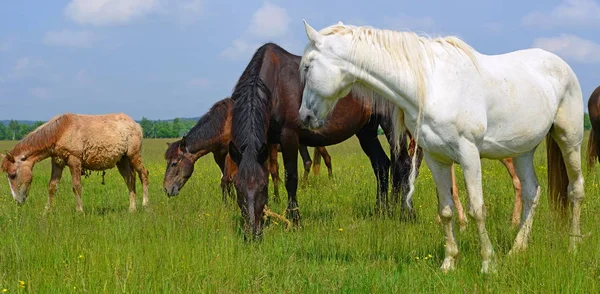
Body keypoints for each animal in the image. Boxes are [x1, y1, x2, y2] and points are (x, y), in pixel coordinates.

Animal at [0, 112, 149, 211]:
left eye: (13, 175)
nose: (18, 201)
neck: (60, 132)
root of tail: (136, 124)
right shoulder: (57, 163)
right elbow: (52, 186)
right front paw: (47, 211)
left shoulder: (74, 161)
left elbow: (76, 186)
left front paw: (79, 211)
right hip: (122, 161)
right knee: (130, 180)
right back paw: (132, 209)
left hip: (133, 156)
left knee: (143, 174)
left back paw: (145, 204)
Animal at [227, 42, 414, 238]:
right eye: (237, 186)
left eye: (262, 186)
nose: (252, 234)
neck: (275, 84)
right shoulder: (268, 142)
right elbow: (272, 171)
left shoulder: (289, 137)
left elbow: (290, 178)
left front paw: (296, 221)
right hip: (366, 130)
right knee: (381, 165)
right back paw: (380, 212)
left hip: (390, 124)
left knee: (403, 164)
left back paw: (407, 214)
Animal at [298, 20, 584, 274]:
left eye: (308, 66)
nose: (304, 117)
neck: (434, 86)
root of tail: (561, 65)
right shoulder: (437, 159)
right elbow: (446, 210)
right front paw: (449, 263)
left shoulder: (469, 154)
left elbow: (477, 209)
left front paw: (487, 264)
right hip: (523, 150)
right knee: (531, 192)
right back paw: (517, 249)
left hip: (569, 140)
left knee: (575, 190)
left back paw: (573, 246)